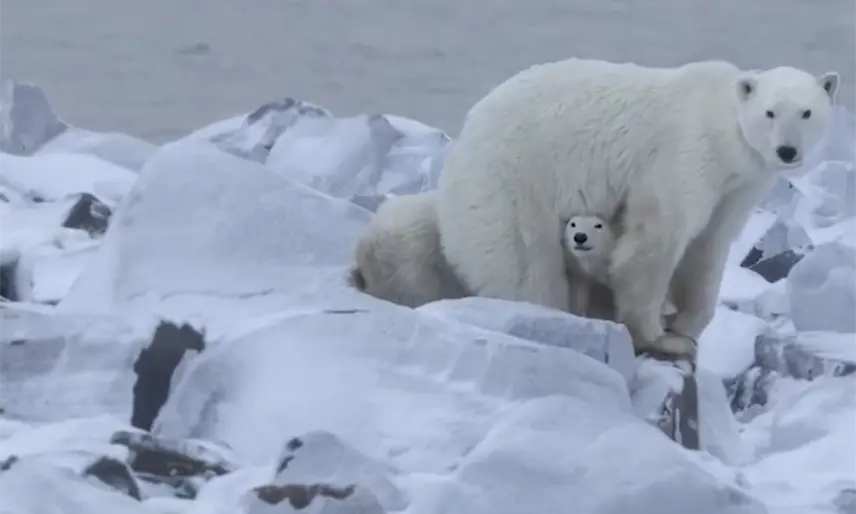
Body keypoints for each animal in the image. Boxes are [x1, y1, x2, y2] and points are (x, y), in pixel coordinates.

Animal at [436, 58, 840, 359]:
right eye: (770, 112)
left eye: (806, 112)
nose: (787, 151)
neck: (721, 124)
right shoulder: (685, 153)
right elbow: (654, 242)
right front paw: (660, 336)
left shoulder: (738, 184)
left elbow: (709, 246)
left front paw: (687, 326)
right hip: (514, 186)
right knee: (526, 269)